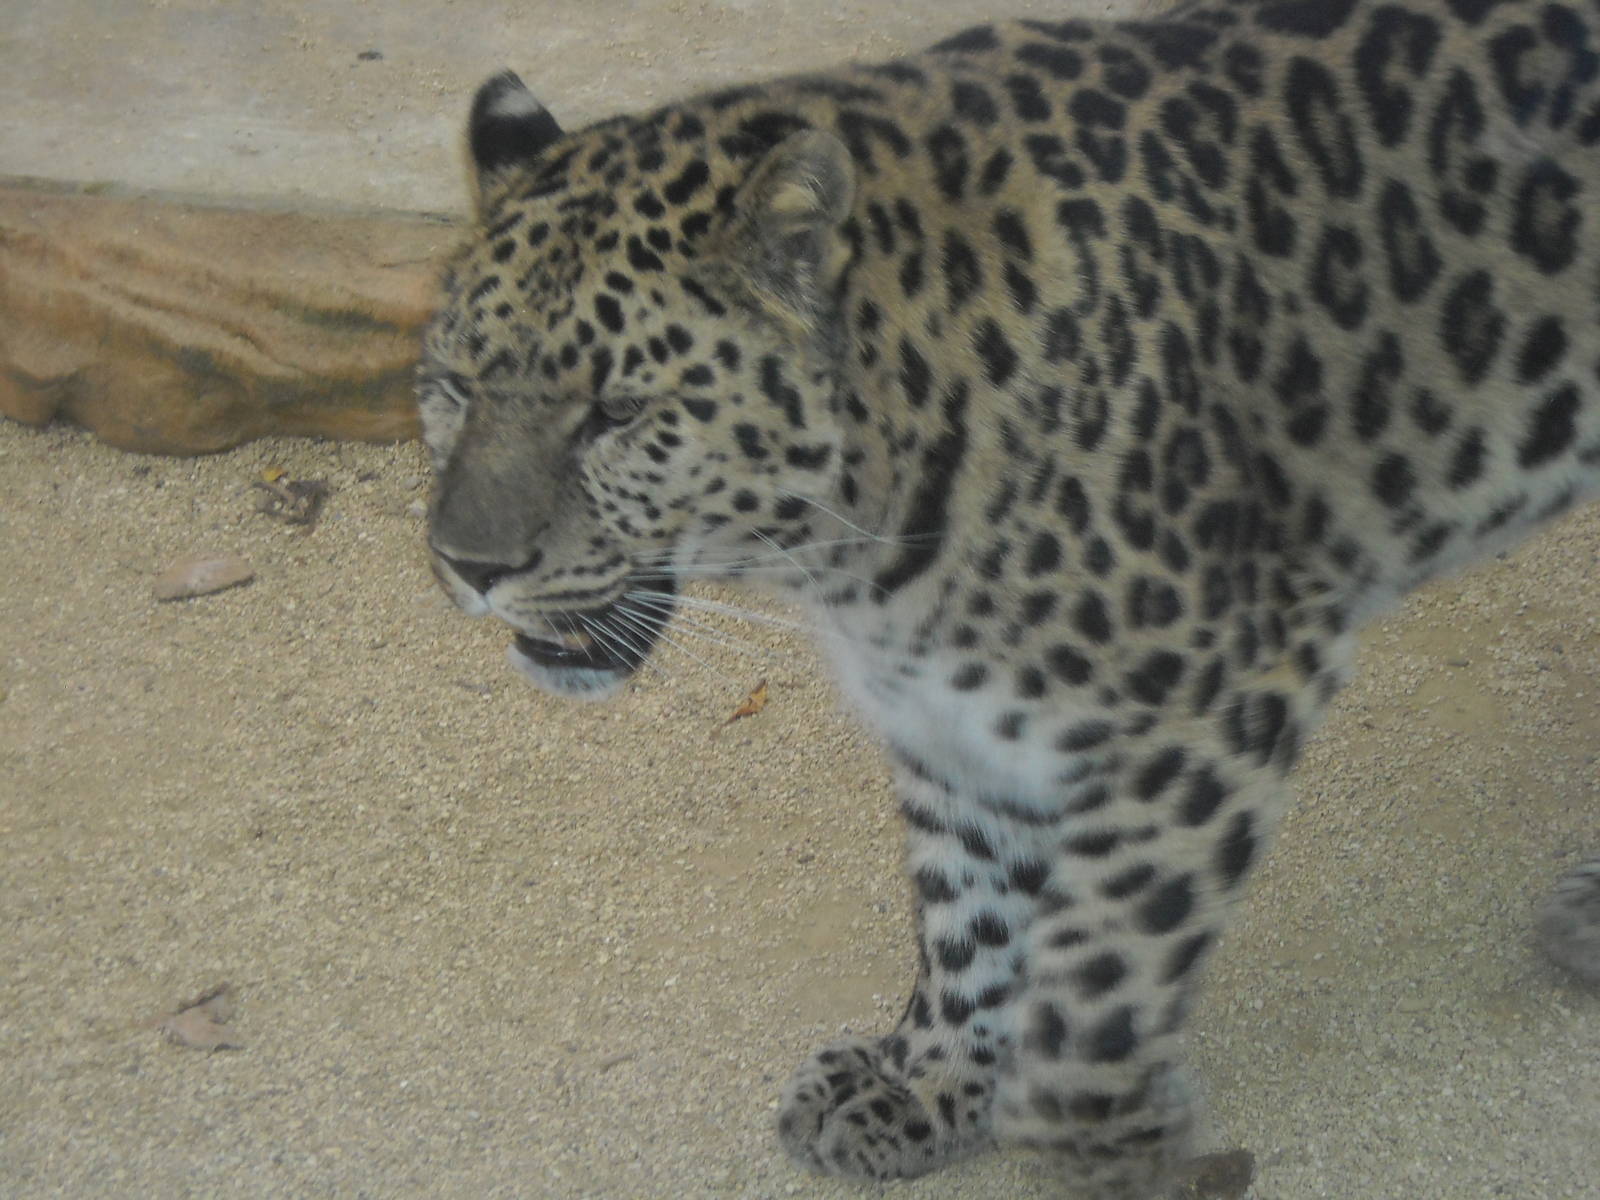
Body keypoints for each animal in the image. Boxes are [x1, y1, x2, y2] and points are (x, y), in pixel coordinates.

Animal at [416, 1, 1600, 1195]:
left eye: (615, 413)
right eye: (456, 385)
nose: (468, 563)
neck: (864, 532)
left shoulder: (1217, 700)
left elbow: (1096, 981)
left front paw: (1123, 1151)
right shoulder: (952, 711)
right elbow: (969, 912)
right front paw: (929, 1086)